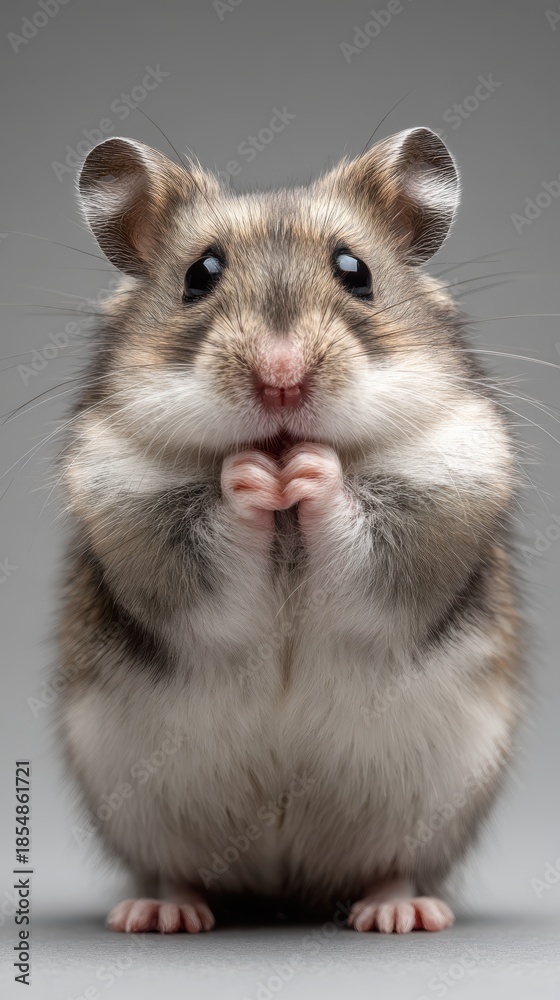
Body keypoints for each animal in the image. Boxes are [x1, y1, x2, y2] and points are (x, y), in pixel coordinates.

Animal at [56, 127, 524, 934]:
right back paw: (161, 912)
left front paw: (308, 470)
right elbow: (209, 541)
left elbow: (365, 535)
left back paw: (399, 913)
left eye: (355, 271)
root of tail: (283, 885)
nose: (281, 379)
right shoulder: (136, 521)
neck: (286, 531)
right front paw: (250, 476)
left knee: (391, 867)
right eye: (200, 274)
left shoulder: (440, 501)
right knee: (178, 870)